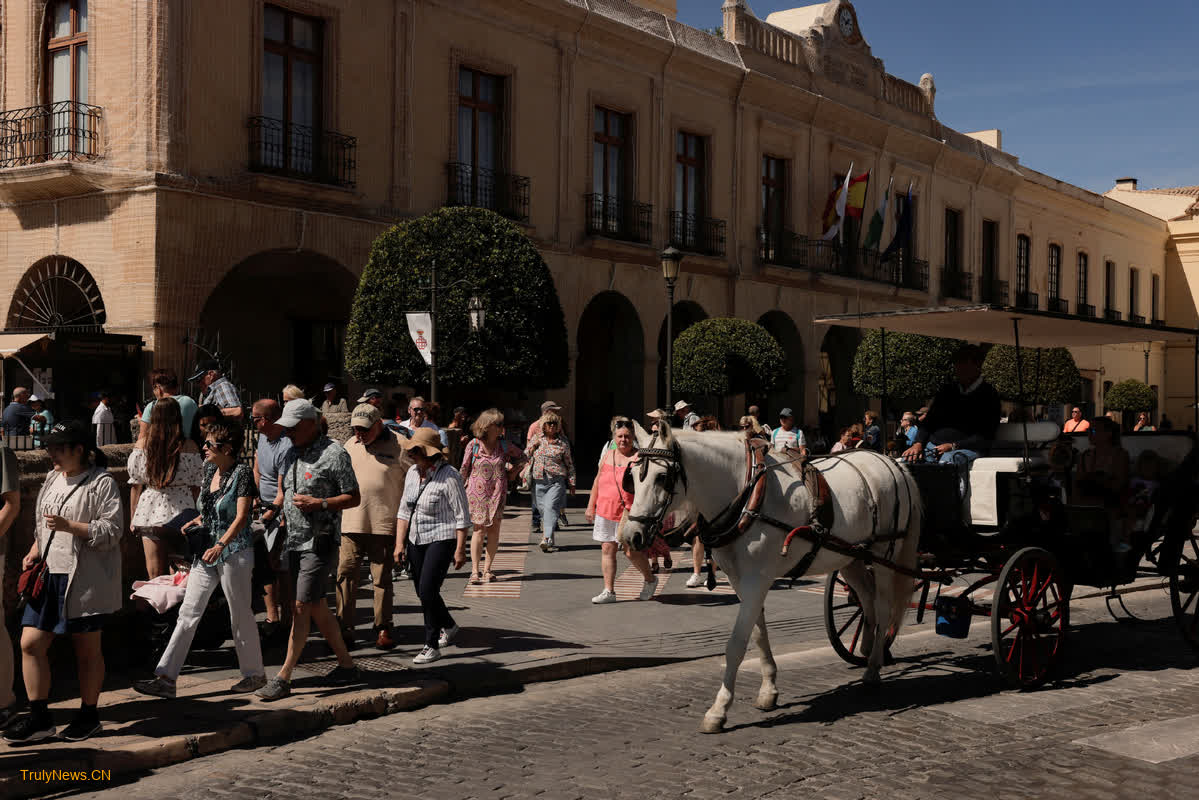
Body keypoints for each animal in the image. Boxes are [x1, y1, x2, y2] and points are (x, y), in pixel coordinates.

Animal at [623, 422, 920, 734]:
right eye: (632, 479)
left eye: (662, 477)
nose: (632, 536)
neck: (746, 495)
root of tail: (893, 462)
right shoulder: (741, 580)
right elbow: (758, 634)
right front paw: (768, 690)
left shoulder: (757, 579)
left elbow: (736, 644)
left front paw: (719, 709)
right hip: (850, 556)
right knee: (867, 601)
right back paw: (867, 648)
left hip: (885, 554)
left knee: (884, 607)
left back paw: (873, 668)